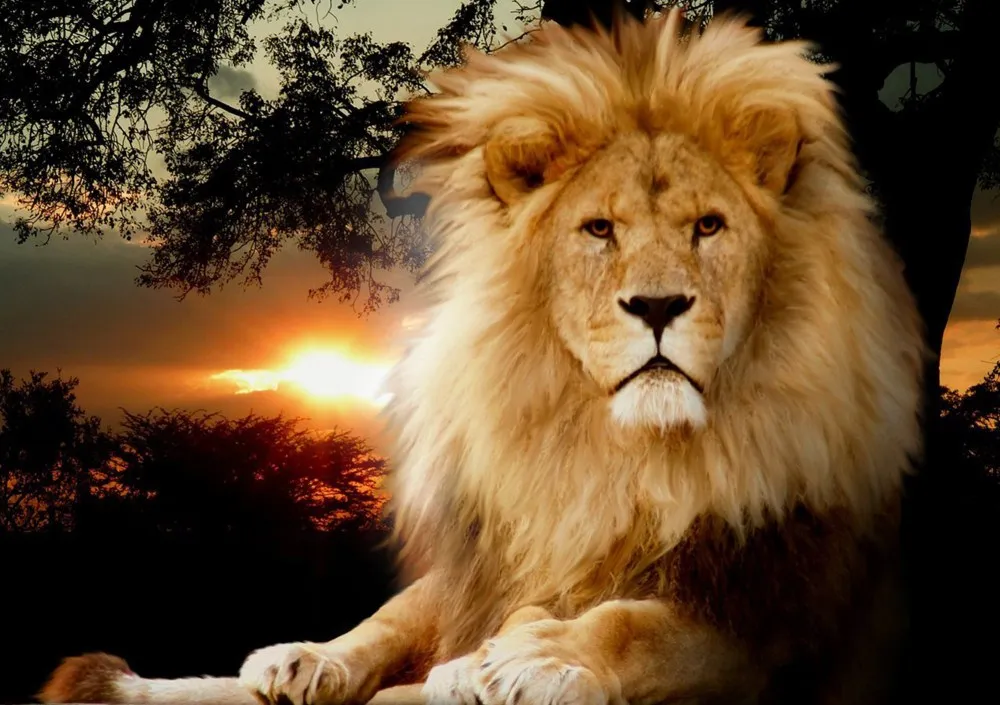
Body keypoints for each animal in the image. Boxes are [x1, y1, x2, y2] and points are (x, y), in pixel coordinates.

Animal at [39, 9, 927, 705]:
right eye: (599, 229)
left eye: (709, 226)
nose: (657, 306)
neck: (620, 453)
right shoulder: (504, 549)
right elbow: (406, 612)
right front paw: (328, 657)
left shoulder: (779, 612)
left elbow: (637, 623)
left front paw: (532, 656)